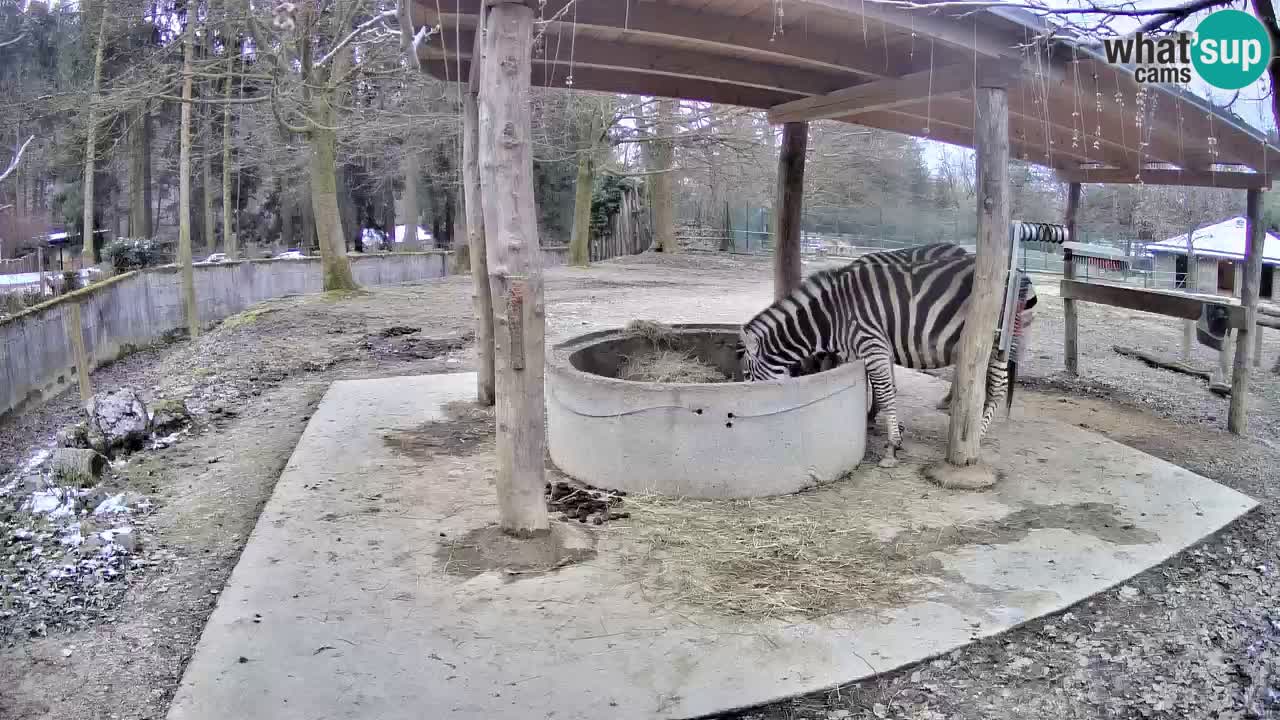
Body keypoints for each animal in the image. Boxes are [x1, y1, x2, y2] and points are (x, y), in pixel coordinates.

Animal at [742, 251, 1039, 466]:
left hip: (998, 343)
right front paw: (877, 423)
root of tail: (1021, 276)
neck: (831, 317)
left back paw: (977, 436)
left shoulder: (871, 342)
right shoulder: (865, 349)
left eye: (748, 375)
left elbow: (884, 391)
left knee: (998, 389)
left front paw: (891, 446)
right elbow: (879, 387)